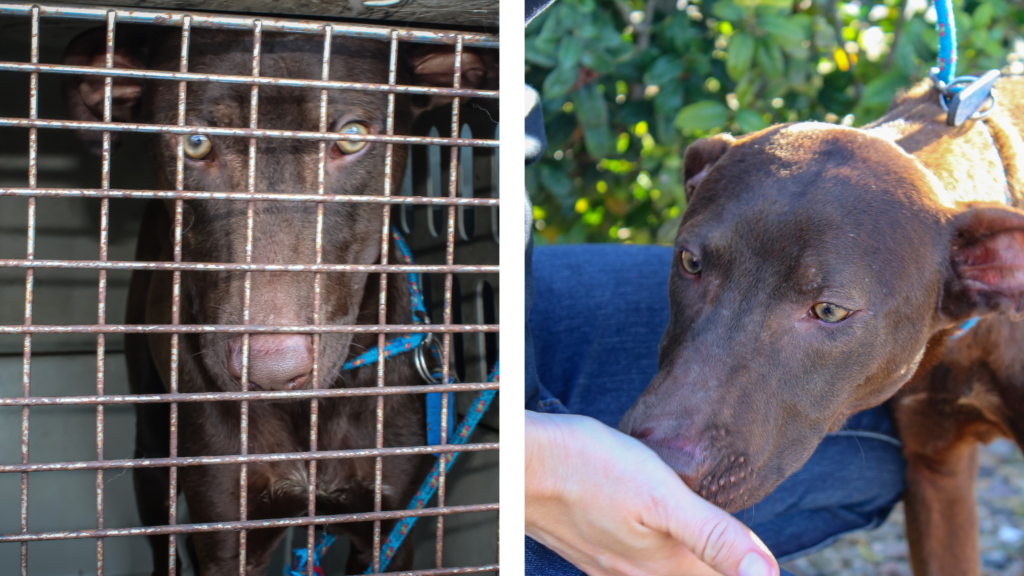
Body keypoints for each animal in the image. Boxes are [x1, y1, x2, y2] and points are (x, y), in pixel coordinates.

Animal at [61, 24, 497, 569]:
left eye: (352, 136)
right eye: (196, 143)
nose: (270, 372)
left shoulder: (390, 530)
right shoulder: (224, 535)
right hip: (152, 442)